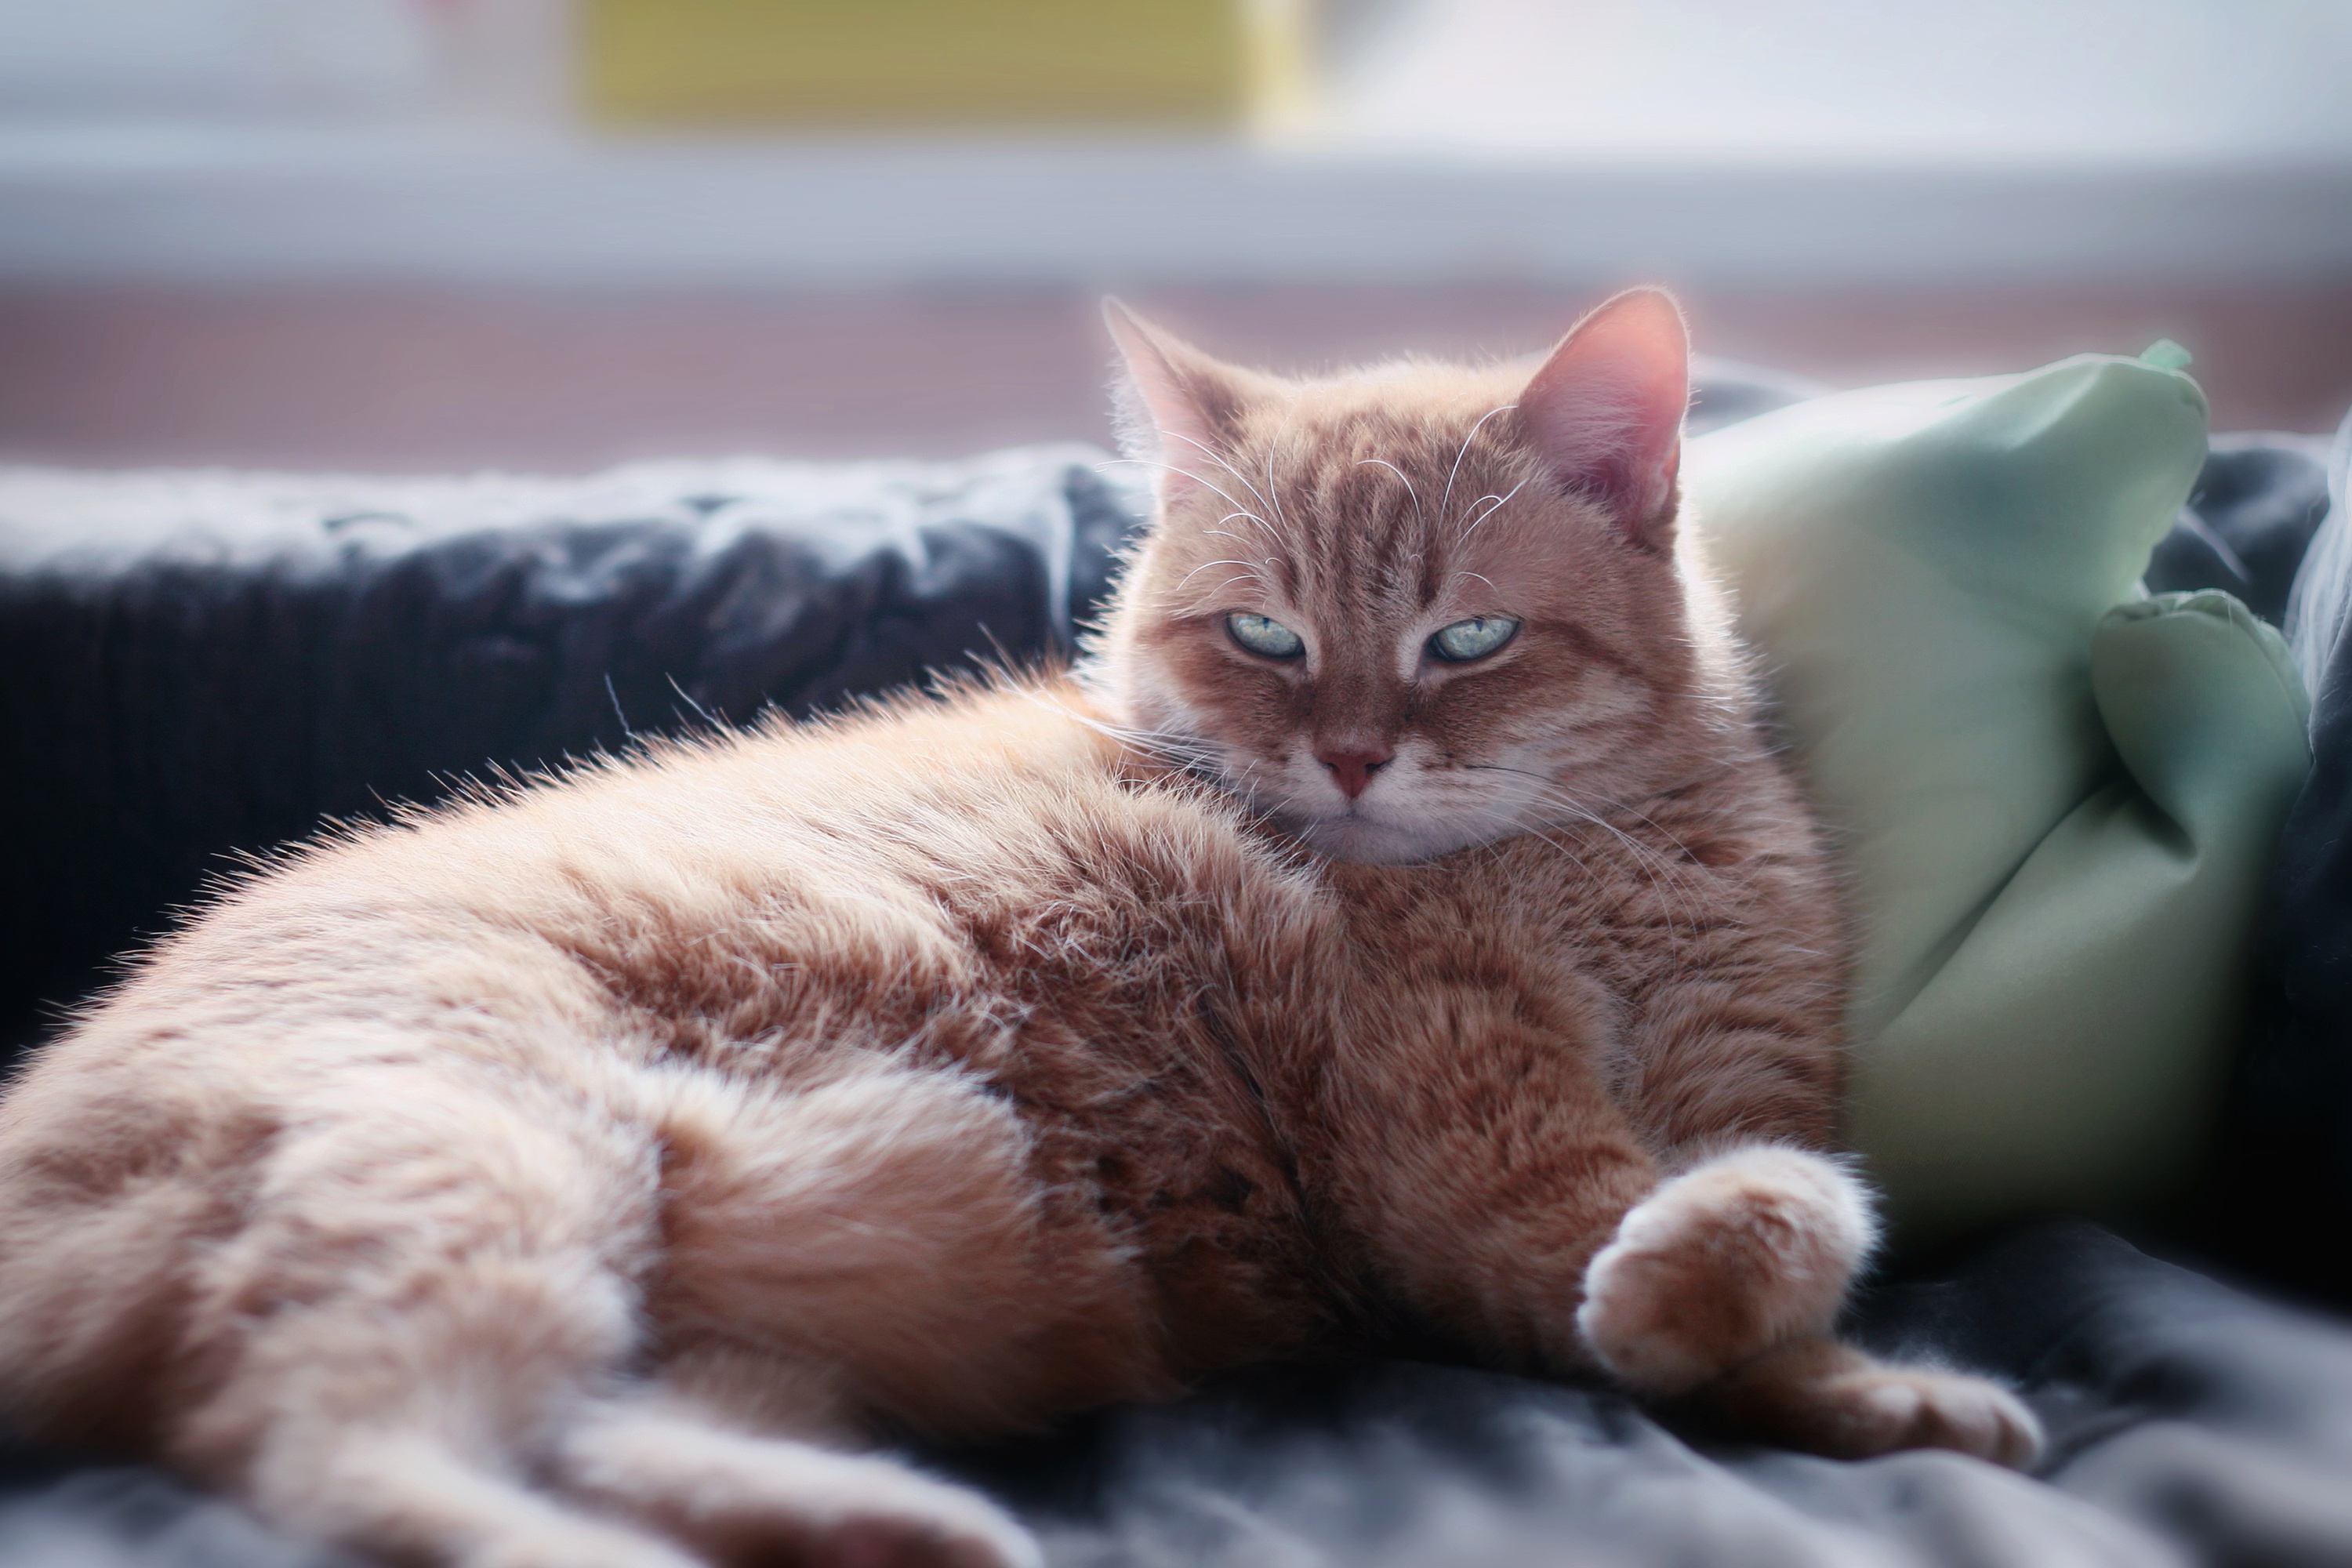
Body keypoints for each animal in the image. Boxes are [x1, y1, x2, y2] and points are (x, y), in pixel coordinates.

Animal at [0, 288, 2042, 1561]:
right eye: (1265, 636)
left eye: (1465, 637)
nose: (1351, 754)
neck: (1604, 858)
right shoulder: (1480, 1169)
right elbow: (1732, 1236)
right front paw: (1785, 1331)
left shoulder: (1736, 1087)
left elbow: (1803, 1210)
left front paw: (1867, 1379)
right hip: (476, 1157)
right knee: (337, 1453)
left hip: (688, 1304)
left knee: (575, 1427)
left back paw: (879, 1524)